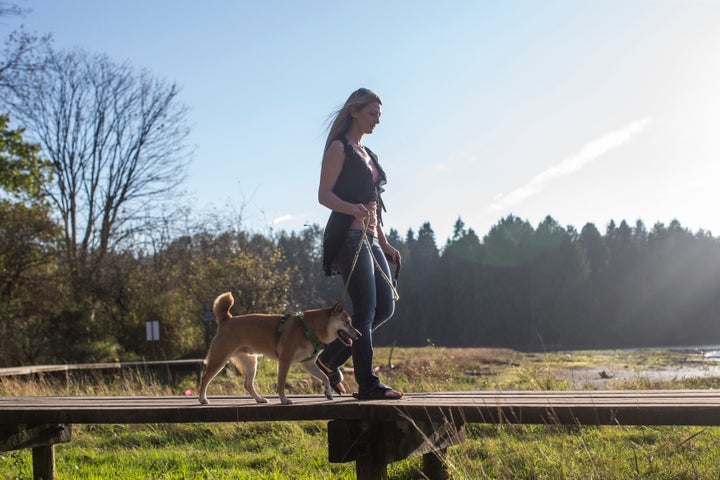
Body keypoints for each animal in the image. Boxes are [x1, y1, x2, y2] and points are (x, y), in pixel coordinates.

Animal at [198, 292, 358, 404]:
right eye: (347, 322)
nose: (359, 334)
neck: (308, 328)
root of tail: (227, 319)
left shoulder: (308, 364)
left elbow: (324, 377)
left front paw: (329, 392)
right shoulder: (285, 360)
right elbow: (281, 383)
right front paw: (284, 400)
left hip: (251, 362)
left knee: (247, 384)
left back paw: (259, 399)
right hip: (219, 359)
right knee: (205, 378)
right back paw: (202, 399)